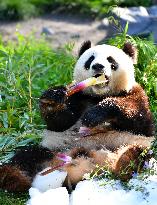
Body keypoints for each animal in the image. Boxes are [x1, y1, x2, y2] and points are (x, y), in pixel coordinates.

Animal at [0, 41, 155, 192]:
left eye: (111, 60)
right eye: (90, 59)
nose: (98, 66)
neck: (98, 95)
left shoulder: (135, 94)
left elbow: (138, 118)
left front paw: (95, 114)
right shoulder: (78, 96)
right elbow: (60, 122)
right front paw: (53, 98)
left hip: (134, 144)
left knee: (136, 154)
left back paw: (121, 166)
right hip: (53, 150)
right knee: (25, 156)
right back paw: (15, 179)